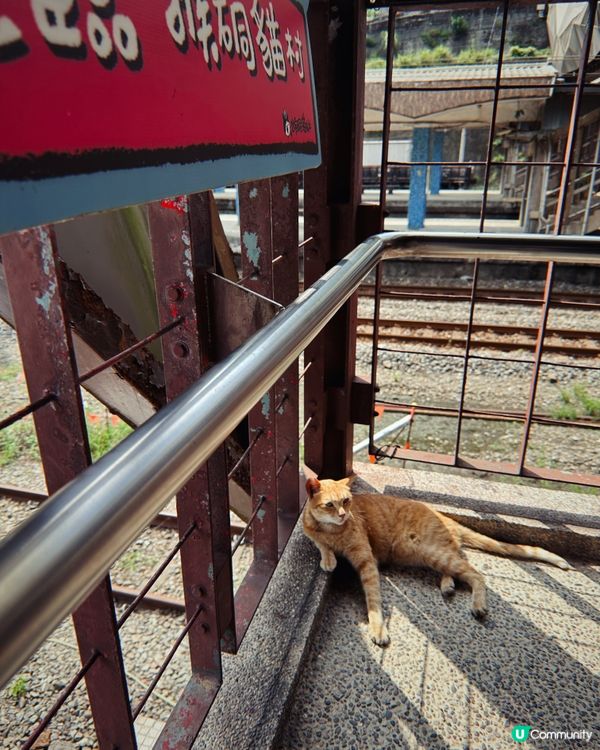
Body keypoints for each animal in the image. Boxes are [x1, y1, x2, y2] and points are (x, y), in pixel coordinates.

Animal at [304, 478, 572, 648]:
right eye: (330, 504)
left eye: (347, 501)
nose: (343, 515)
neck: (333, 531)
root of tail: (445, 517)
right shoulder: (311, 532)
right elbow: (320, 543)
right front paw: (328, 559)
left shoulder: (367, 561)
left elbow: (373, 599)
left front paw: (377, 627)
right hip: (429, 554)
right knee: (458, 564)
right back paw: (448, 585)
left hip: (429, 551)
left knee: (475, 573)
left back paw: (477, 605)